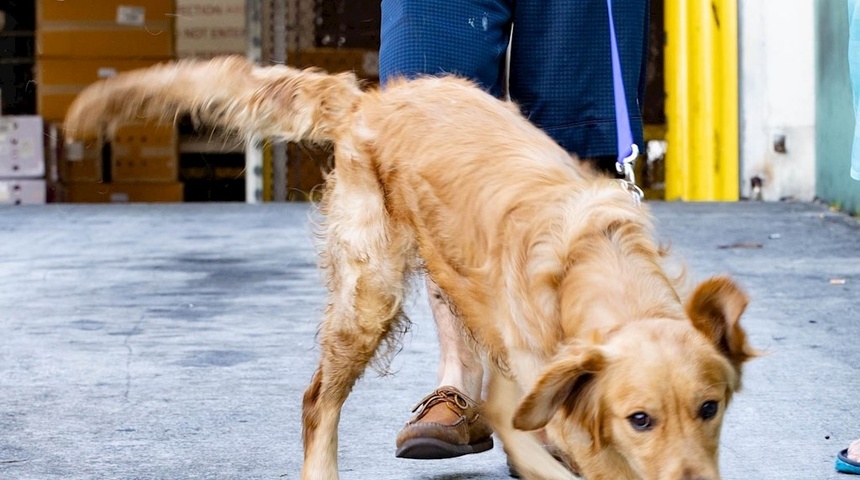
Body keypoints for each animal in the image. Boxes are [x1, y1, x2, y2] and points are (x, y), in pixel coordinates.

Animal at [65, 57, 752, 480]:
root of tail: (370, 98)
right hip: (369, 294)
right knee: (316, 400)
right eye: (640, 419)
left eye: (710, 408)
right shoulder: (543, 401)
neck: (594, 258)